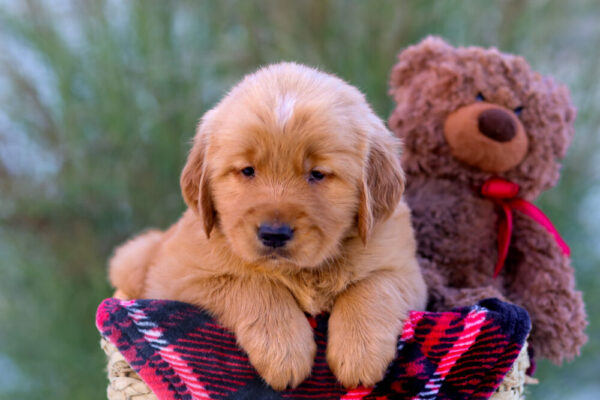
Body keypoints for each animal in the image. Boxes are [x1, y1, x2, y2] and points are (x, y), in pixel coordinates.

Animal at [108, 62, 426, 390]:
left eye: (317, 174)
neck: (302, 273)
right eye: (247, 170)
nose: (274, 234)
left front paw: (360, 352)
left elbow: (374, 285)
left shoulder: (405, 269)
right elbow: (254, 285)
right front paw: (284, 352)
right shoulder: (178, 278)